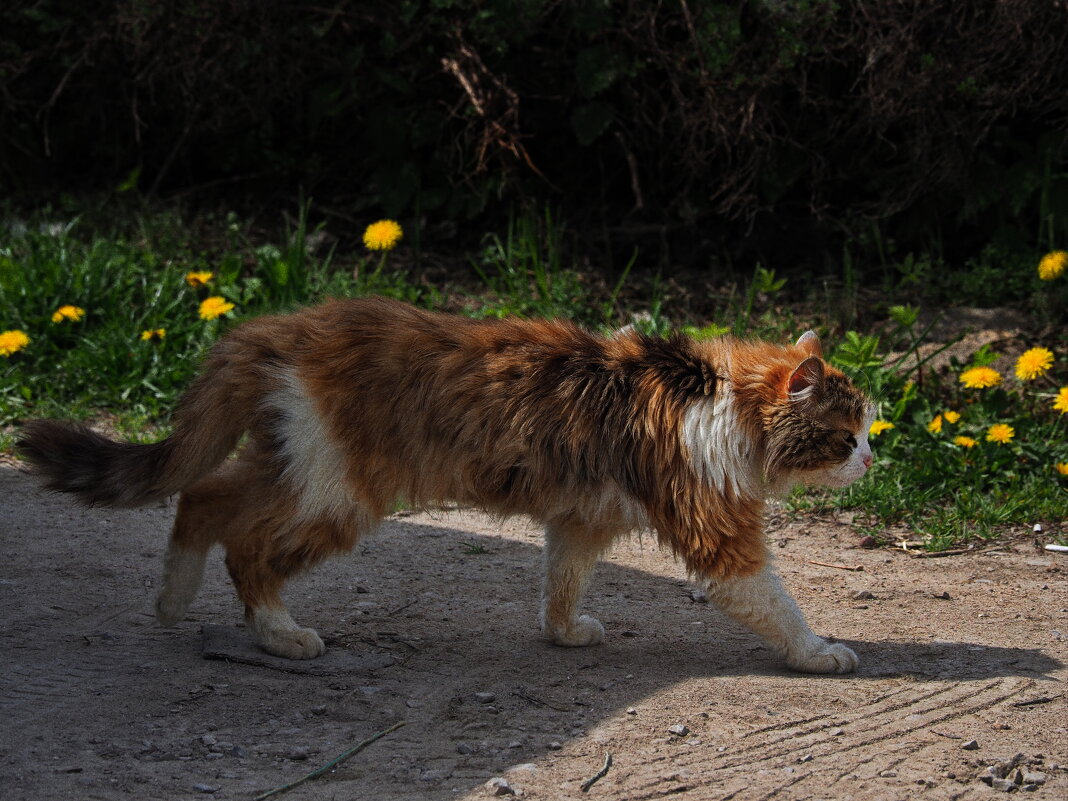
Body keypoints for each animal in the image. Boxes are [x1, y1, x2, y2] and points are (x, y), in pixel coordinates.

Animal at [18, 299, 875, 674]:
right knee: (247, 549)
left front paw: (563, 632)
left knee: (201, 498)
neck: (721, 396)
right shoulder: (720, 535)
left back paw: (172, 597)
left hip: (294, 465)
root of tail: (278, 324)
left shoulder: (579, 519)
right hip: (338, 494)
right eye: (850, 431)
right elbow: (777, 602)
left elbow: (561, 580)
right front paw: (819, 651)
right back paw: (280, 633)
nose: (872, 461)